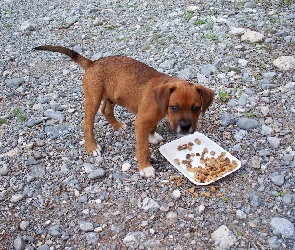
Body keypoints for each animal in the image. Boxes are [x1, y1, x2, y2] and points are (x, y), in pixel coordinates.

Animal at [34, 45, 215, 178]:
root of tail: (92, 63)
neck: (161, 104)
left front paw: (152, 137)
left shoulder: (149, 119)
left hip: (110, 97)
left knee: (106, 110)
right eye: (174, 107)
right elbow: (143, 148)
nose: (185, 128)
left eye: (196, 108)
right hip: (93, 98)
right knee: (87, 124)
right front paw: (145, 167)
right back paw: (92, 147)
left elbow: (152, 127)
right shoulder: (141, 122)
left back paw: (117, 126)